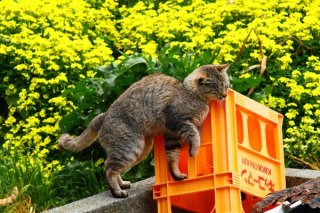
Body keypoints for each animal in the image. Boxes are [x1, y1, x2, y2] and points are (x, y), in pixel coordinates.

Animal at [58, 63, 230, 198]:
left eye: (226, 86)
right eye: (217, 88)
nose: (225, 95)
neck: (190, 94)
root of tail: (103, 115)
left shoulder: (171, 137)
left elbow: (172, 159)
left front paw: (177, 175)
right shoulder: (178, 122)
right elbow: (194, 135)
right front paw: (194, 150)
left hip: (141, 150)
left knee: (114, 169)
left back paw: (123, 184)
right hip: (131, 147)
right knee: (108, 169)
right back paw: (117, 192)